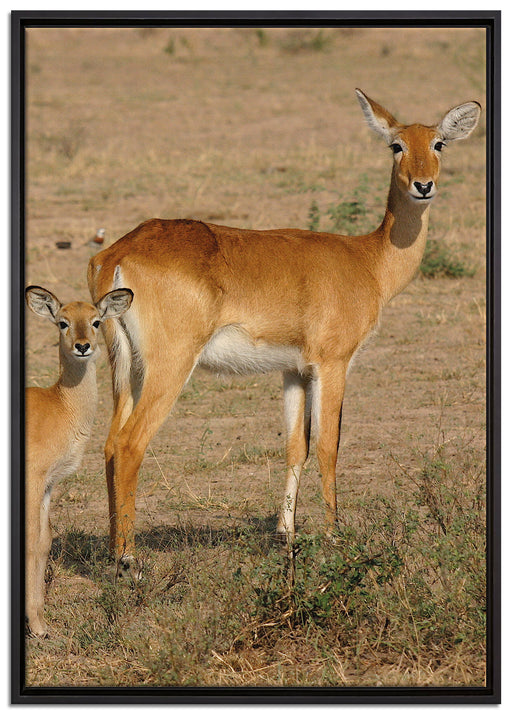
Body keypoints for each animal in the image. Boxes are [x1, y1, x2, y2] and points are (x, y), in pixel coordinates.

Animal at [25, 286, 133, 636]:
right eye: (63, 322)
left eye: (96, 321)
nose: (82, 346)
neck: (60, 406)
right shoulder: (33, 481)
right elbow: (30, 540)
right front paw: (36, 626)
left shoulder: (48, 485)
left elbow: (44, 542)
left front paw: (41, 622)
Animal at [88, 89, 481, 579]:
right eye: (396, 145)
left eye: (439, 143)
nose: (423, 185)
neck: (367, 261)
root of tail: (117, 253)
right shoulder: (333, 364)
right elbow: (329, 446)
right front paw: (334, 538)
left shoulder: (294, 371)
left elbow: (297, 447)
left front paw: (286, 535)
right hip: (170, 366)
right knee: (129, 444)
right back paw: (128, 559)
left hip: (126, 367)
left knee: (108, 444)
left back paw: (111, 551)